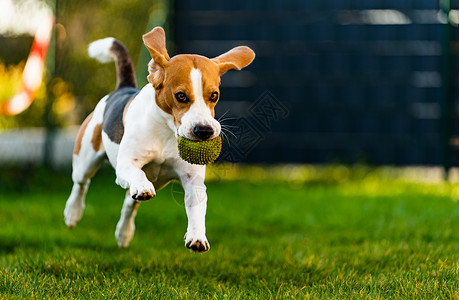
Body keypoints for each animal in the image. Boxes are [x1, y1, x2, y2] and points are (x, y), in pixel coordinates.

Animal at [63, 26, 255, 253]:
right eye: (181, 96)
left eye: (214, 95)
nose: (204, 131)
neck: (167, 132)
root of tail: (123, 88)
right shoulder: (126, 165)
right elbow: (136, 174)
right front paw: (142, 186)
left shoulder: (193, 180)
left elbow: (197, 209)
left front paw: (197, 236)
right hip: (86, 158)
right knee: (81, 184)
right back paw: (72, 213)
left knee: (129, 203)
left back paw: (124, 233)